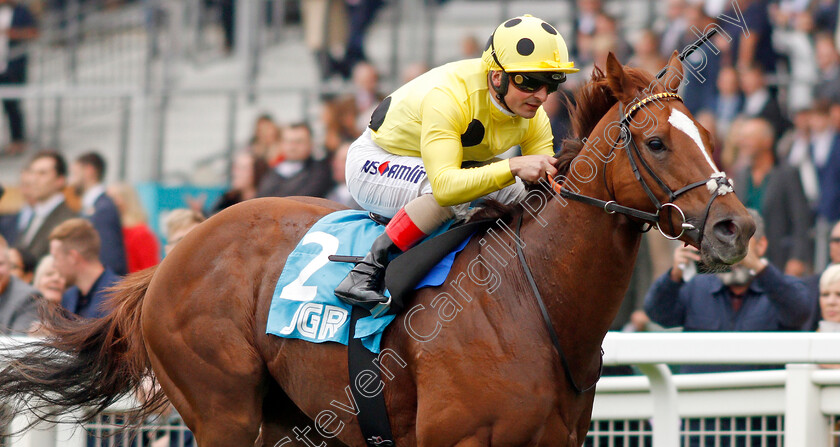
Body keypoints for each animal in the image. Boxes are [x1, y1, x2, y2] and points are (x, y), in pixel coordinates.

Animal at [0, 51, 752, 444]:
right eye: (656, 141)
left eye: (709, 133)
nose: (736, 227)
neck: (534, 301)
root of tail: (165, 264)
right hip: (222, 407)